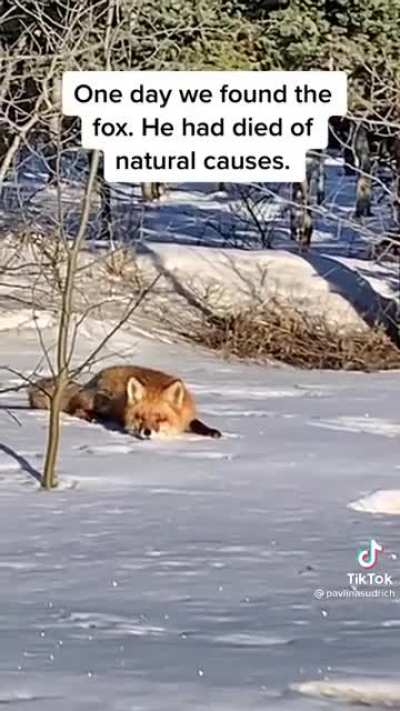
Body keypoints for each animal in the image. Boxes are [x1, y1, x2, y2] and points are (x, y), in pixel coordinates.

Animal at [28, 365, 221, 440]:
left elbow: (197, 423)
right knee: (77, 410)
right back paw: (94, 417)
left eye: (160, 418)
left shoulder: (187, 417)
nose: (147, 432)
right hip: (104, 399)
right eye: (140, 417)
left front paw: (211, 431)